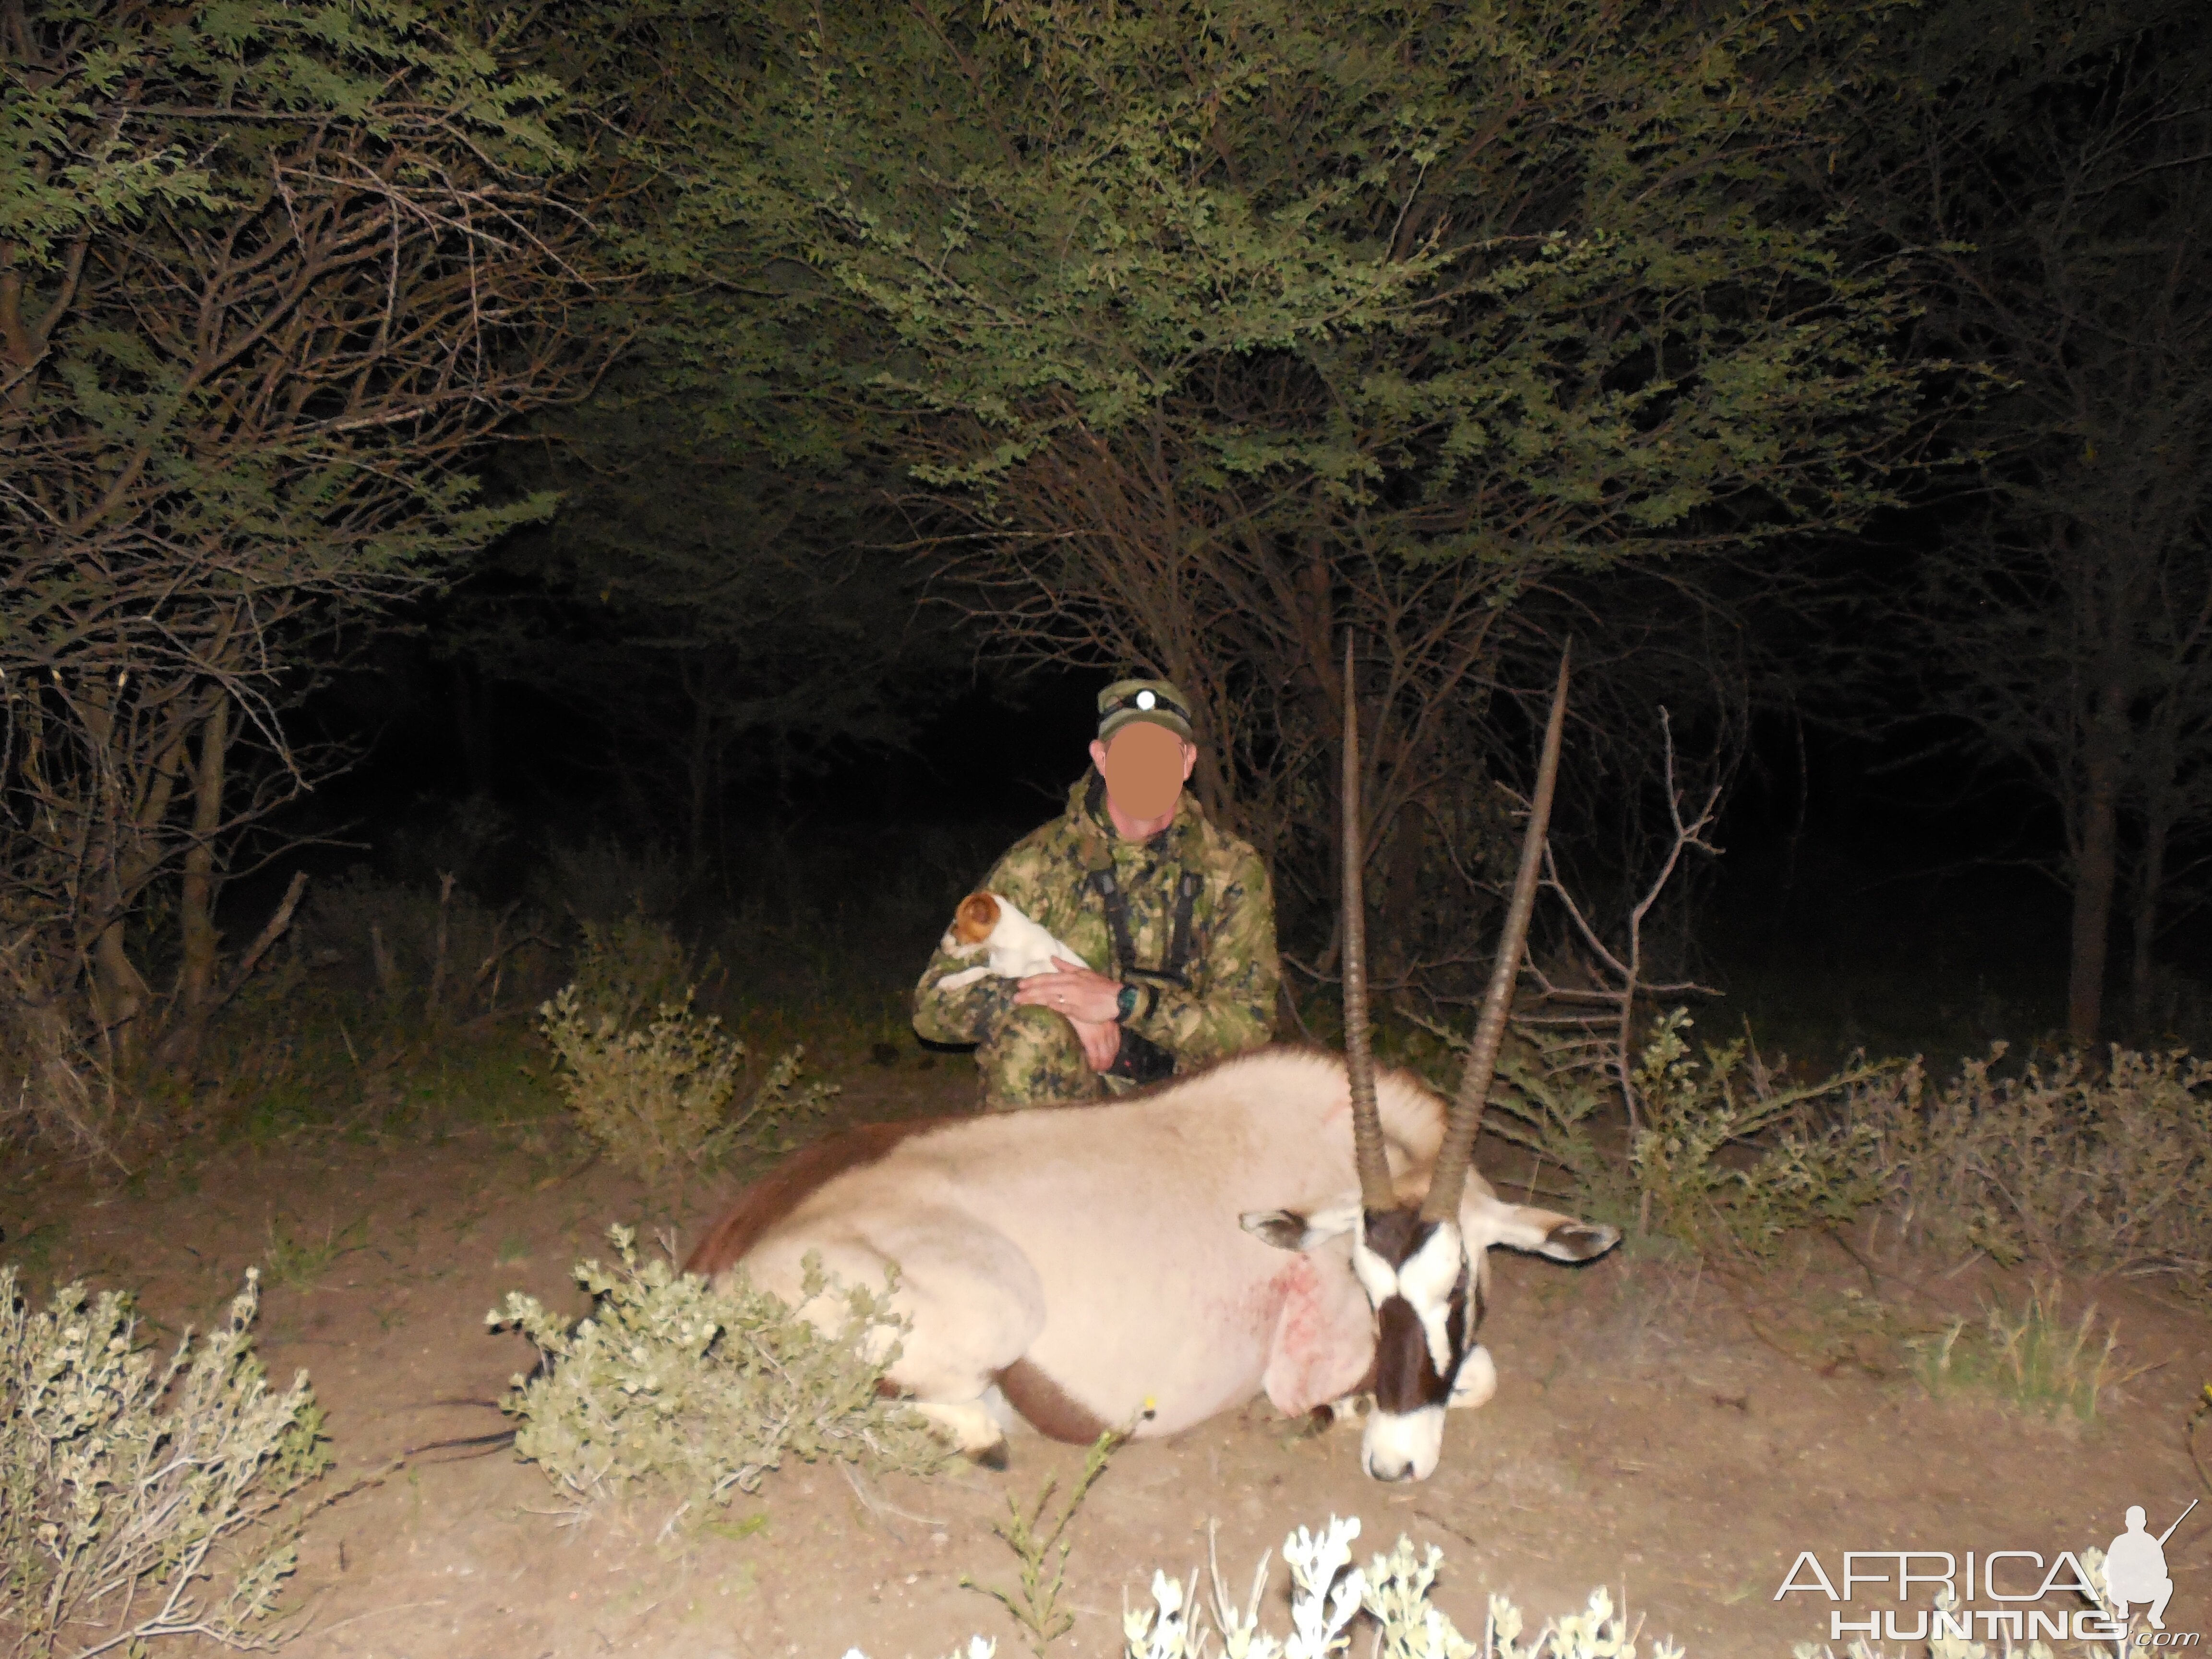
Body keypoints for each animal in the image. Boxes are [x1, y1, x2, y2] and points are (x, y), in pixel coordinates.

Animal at [933, 889, 1088, 995]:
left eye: (956, 926)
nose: (949, 932)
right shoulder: (993, 960)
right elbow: (975, 964)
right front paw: (953, 976)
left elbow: (979, 968)